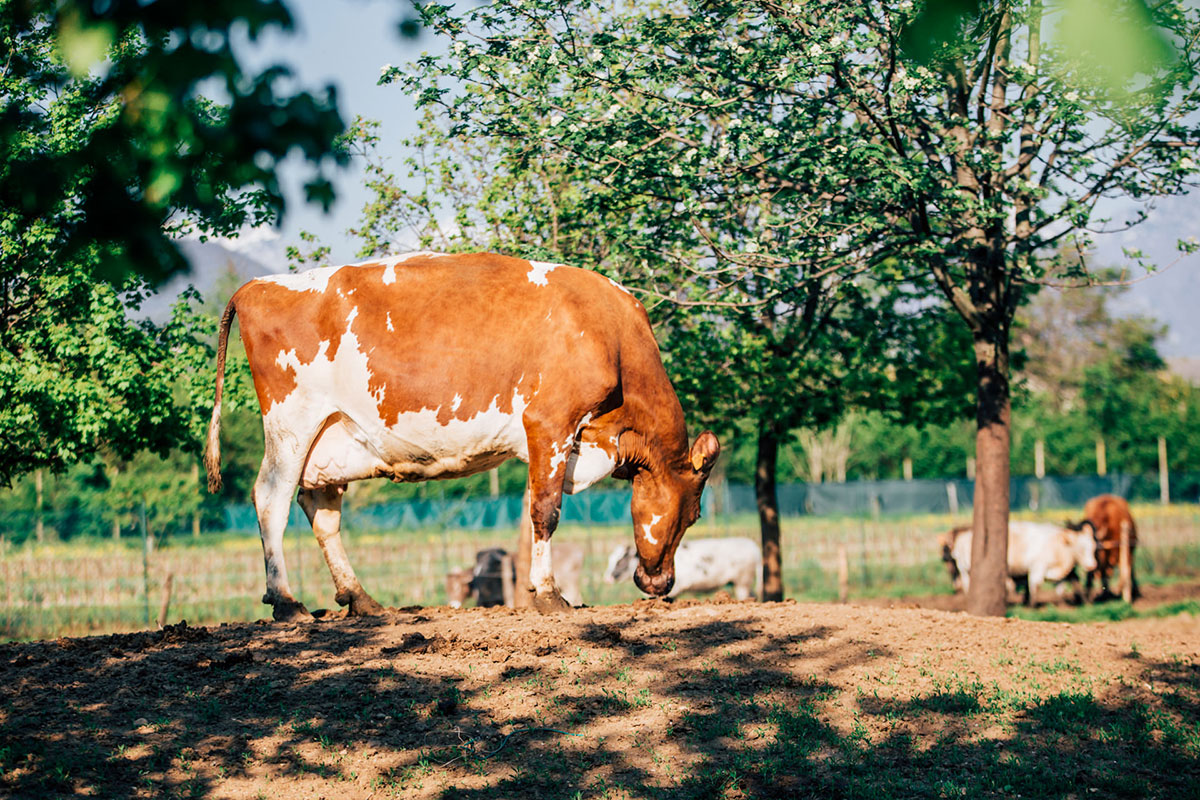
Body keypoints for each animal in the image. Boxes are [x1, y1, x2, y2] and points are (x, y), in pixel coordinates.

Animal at [600, 537, 758, 599]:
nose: (607, 578)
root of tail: (753, 546)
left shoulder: (674, 589)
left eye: (621, 561)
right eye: (610, 560)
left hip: (743, 582)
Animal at [950, 520, 1099, 606]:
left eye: (1093, 547)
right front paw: (1031, 605)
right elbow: (1035, 586)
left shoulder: (1063, 572)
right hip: (965, 569)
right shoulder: (1037, 567)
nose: (1092, 565)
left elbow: (1069, 584)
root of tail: (963, 536)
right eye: (1081, 548)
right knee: (966, 584)